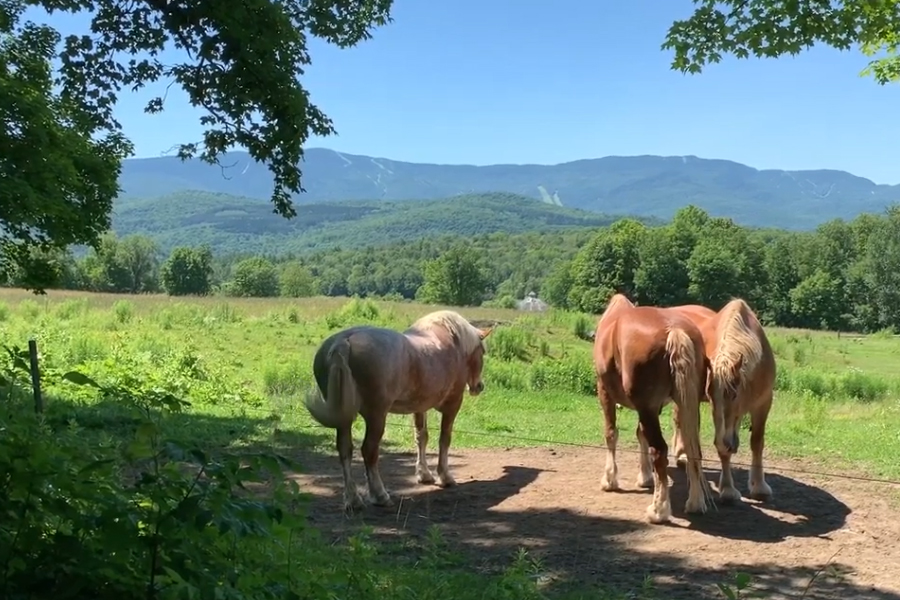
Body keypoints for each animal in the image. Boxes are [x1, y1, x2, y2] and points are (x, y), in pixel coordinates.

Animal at [306, 312, 496, 512]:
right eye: (482, 352)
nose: (479, 386)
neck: (451, 340)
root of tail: (343, 342)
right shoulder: (453, 404)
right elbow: (444, 439)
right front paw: (445, 477)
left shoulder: (420, 407)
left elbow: (421, 437)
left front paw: (424, 474)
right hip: (376, 416)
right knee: (369, 451)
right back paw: (380, 495)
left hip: (344, 418)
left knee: (345, 450)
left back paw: (353, 499)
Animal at [596, 292, 712, 524]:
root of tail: (674, 330)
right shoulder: (653, 407)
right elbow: (640, 434)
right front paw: (645, 477)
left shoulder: (606, 393)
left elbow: (611, 434)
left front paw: (610, 480)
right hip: (686, 404)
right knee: (693, 448)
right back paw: (695, 503)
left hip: (647, 408)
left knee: (660, 450)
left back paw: (659, 510)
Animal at [668, 298, 772, 502]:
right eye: (710, 395)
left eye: (734, 394)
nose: (725, 441)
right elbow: (724, 452)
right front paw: (728, 489)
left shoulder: (763, 404)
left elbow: (757, 442)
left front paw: (759, 485)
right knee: (681, 422)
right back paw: (682, 455)